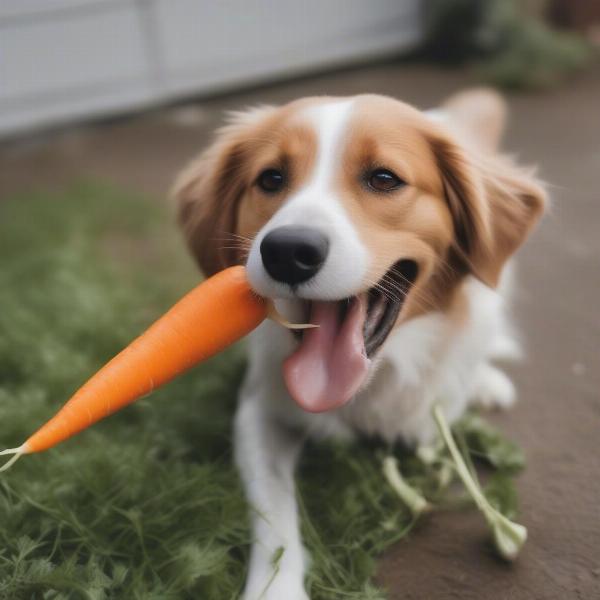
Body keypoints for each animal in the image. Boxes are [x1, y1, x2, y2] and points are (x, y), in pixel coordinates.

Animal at [172, 90, 544, 600]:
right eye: (271, 178)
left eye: (384, 178)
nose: (287, 251)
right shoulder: (258, 412)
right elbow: (275, 513)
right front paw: (277, 589)